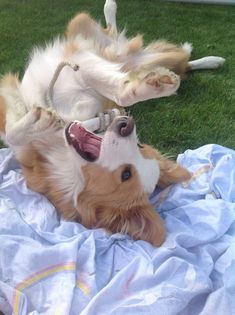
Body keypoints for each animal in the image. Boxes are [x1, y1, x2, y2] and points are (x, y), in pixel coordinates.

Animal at [0, 0, 224, 247]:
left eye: (126, 175)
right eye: (140, 147)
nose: (127, 125)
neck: (59, 146)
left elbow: (119, 94)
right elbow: (12, 131)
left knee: (180, 64)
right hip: (89, 32)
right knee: (120, 38)